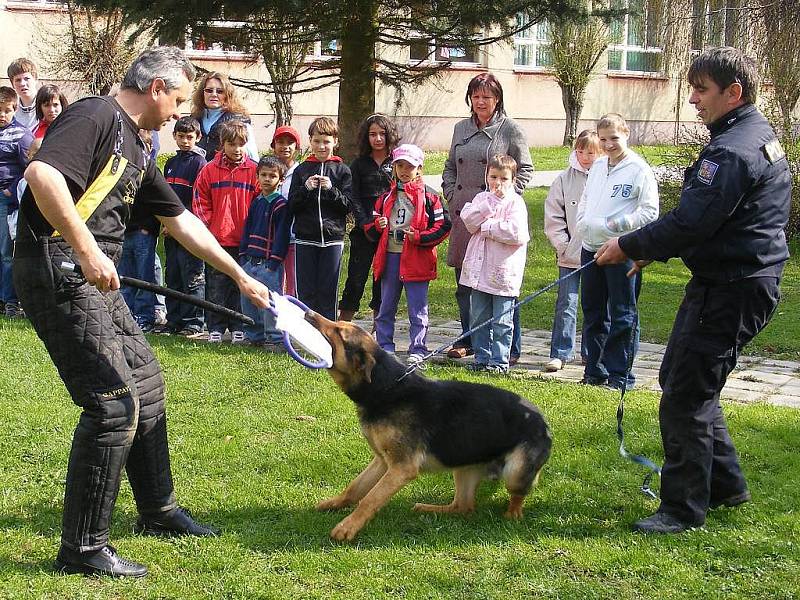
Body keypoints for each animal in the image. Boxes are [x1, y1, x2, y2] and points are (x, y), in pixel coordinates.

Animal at [304, 312, 552, 540]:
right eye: (338, 325)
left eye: (340, 333)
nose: (309, 313)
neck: (385, 387)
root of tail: (543, 422)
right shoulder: (382, 461)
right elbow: (355, 488)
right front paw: (335, 504)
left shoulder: (401, 468)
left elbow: (369, 498)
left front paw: (348, 526)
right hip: (462, 468)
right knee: (463, 507)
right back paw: (428, 508)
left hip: (514, 473)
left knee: (514, 499)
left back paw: (511, 515)